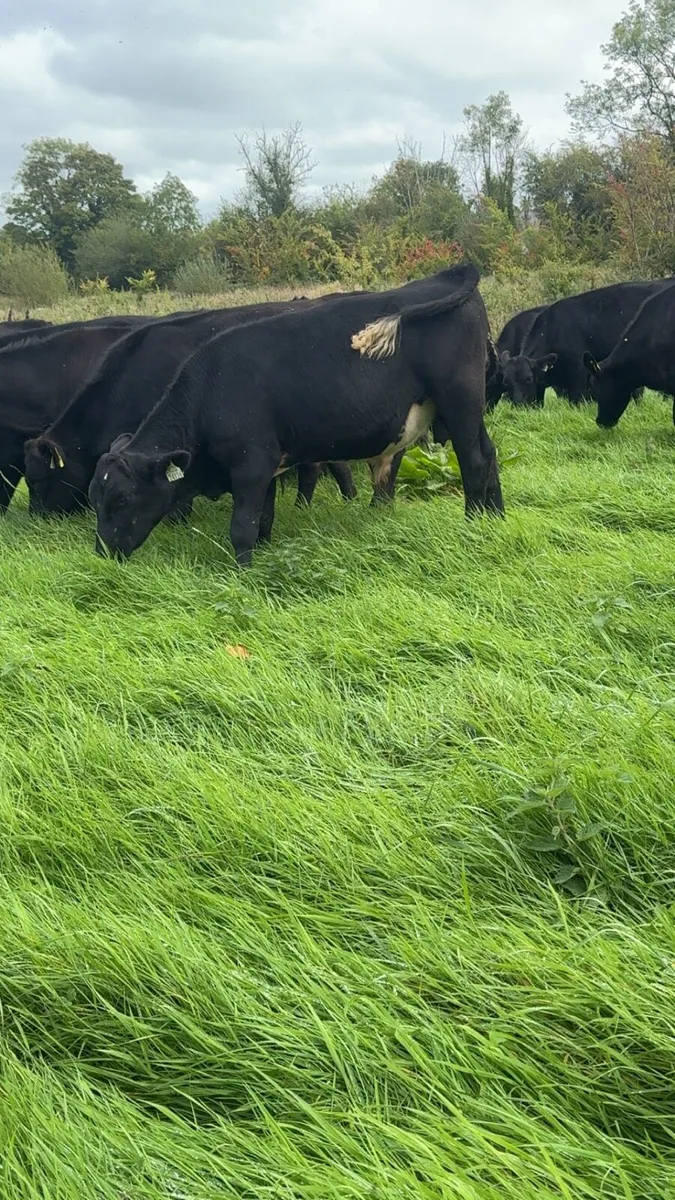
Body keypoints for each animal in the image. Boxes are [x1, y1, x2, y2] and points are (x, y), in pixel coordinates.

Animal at [89, 263, 501, 567]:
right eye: (94, 497)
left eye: (122, 499)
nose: (102, 553)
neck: (211, 389)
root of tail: (452, 272)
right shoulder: (269, 467)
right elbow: (263, 521)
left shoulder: (250, 464)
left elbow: (241, 527)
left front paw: (242, 573)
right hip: (468, 406)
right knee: (490, 453)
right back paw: (496, 518)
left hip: (459, 399)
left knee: (473, 461)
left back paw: (472, 523)